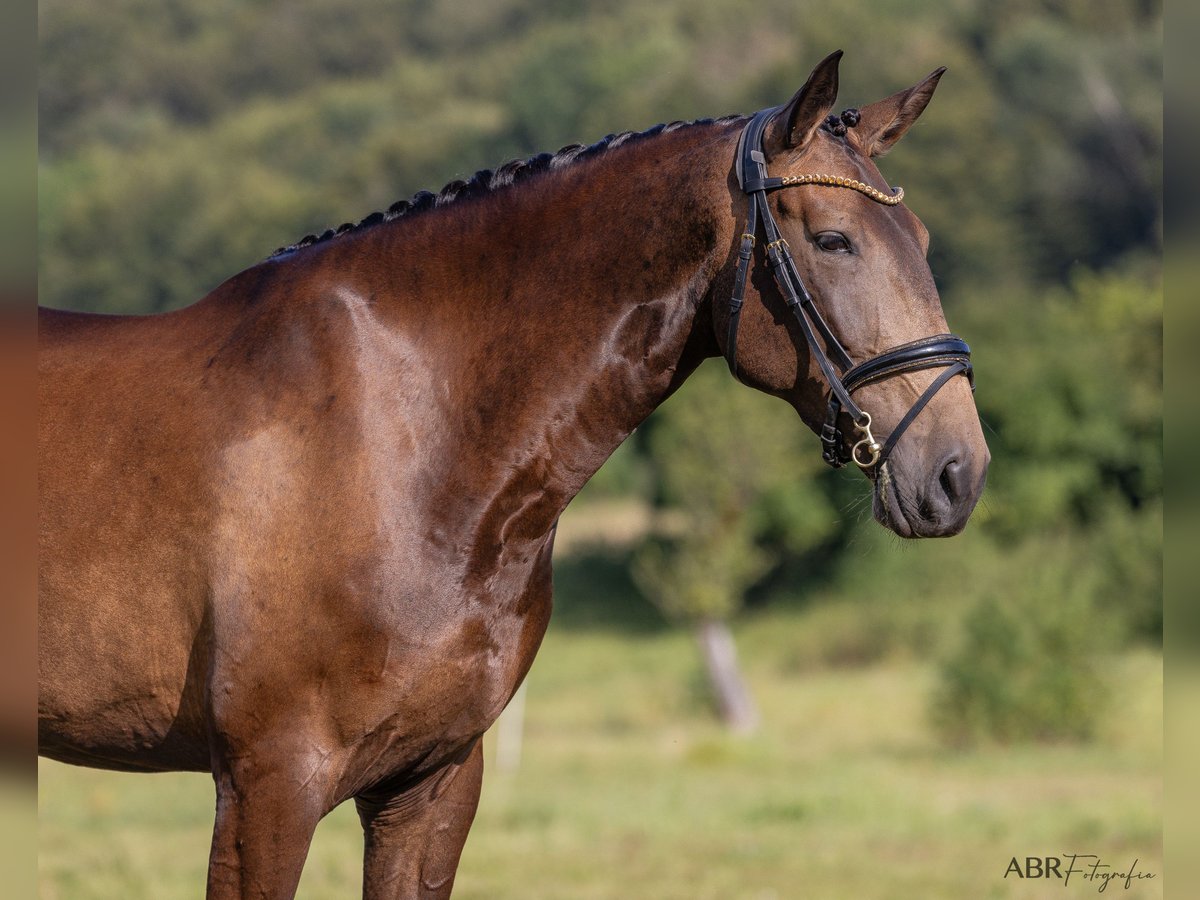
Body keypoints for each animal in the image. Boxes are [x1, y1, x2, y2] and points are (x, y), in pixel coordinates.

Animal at [37, 52, 988, 897]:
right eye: (833, 240)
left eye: (923, 241)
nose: (957, 473)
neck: (405, 436)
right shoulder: (267, 786)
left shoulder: (432, 782)